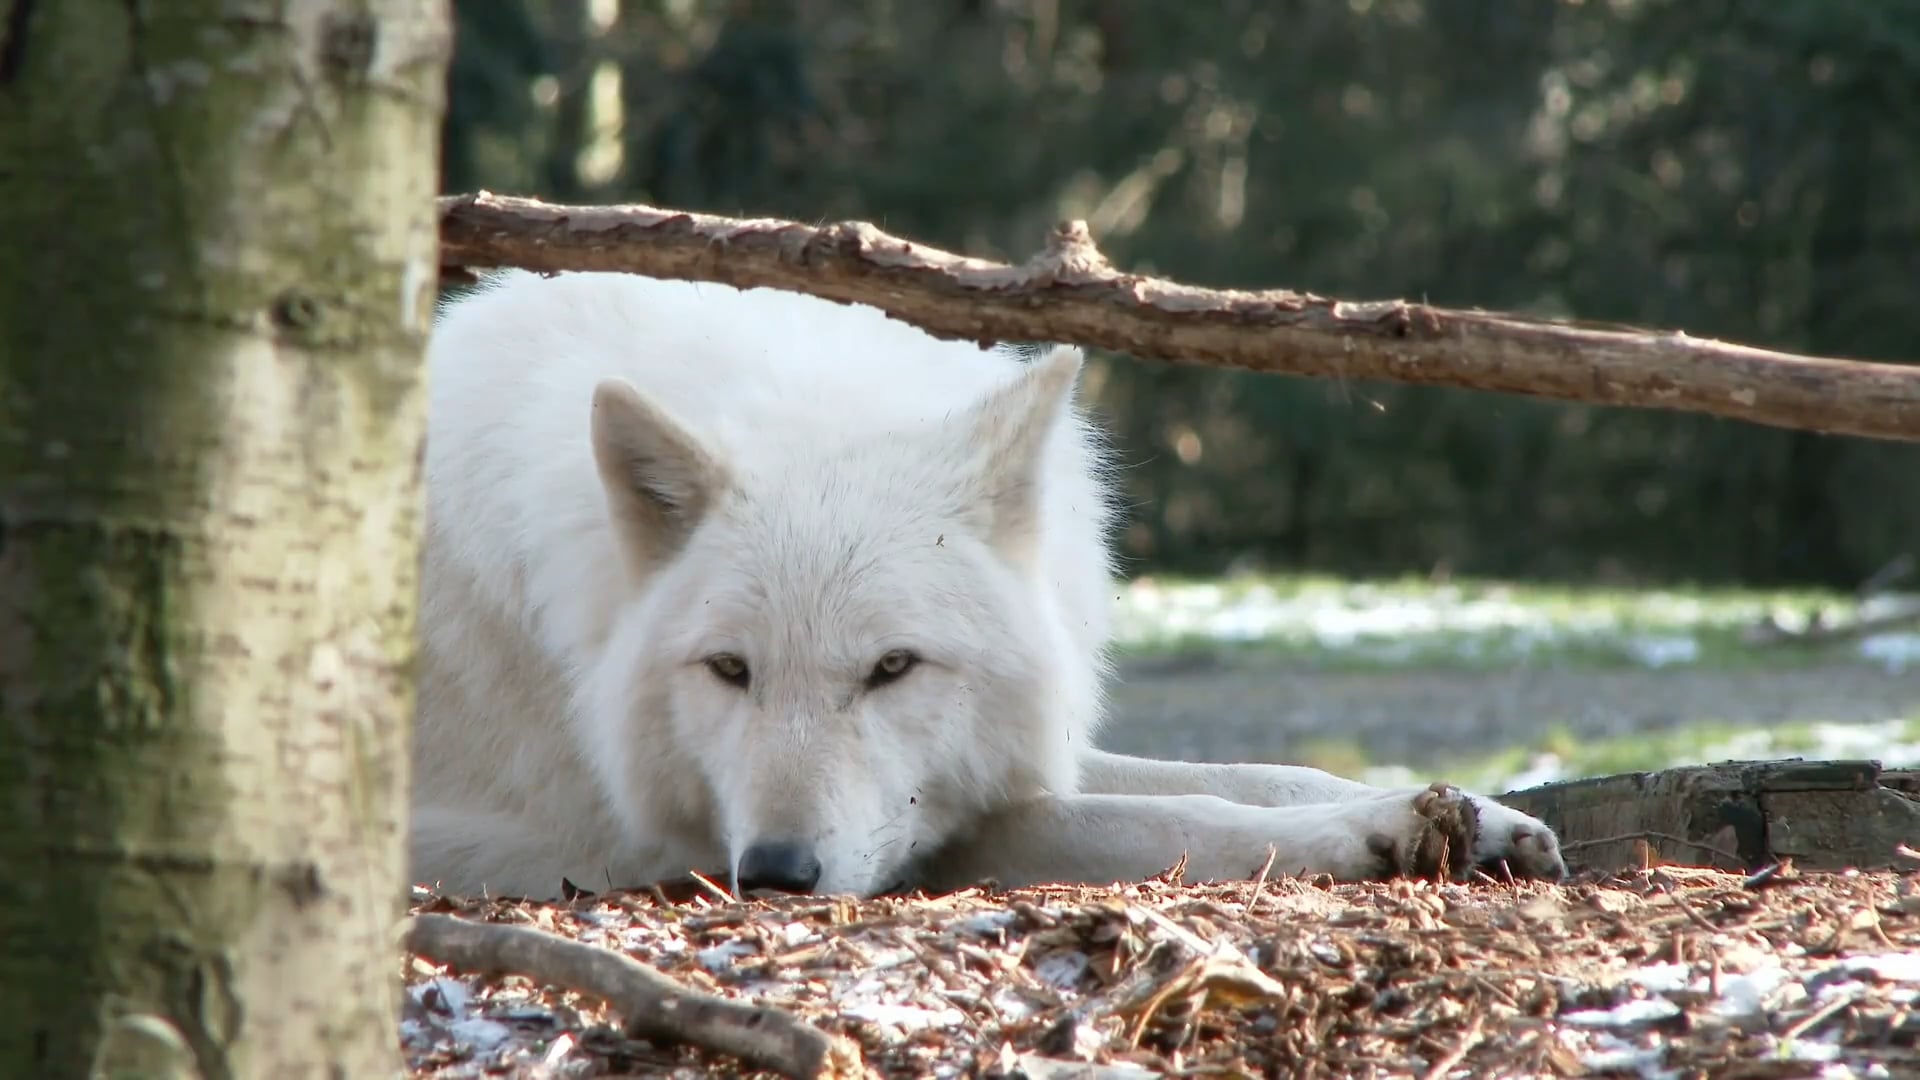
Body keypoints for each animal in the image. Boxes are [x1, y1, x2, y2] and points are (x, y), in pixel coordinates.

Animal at [409, 269, 1566, 900]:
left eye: (892, 668)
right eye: (729, 670)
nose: (776, 873)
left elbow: (1255, 772)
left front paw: (1463, 814)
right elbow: (1169, 815)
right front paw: (1377, 836)